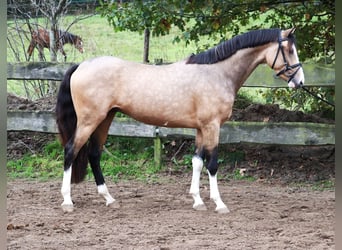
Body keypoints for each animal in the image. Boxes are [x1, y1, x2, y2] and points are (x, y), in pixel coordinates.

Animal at [56, 28, 304, 214]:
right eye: (290, 50)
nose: (300, 82)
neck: (217, 73)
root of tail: (82, 65)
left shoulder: (201, 128)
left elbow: (197, 162)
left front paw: (198, 201)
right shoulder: (212, 126)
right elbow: (212, 164)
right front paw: (219, 204)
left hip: (105, 119)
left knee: (93, 154)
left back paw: (109, 198)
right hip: (89, 120)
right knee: (70, 151)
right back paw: (67, 201)